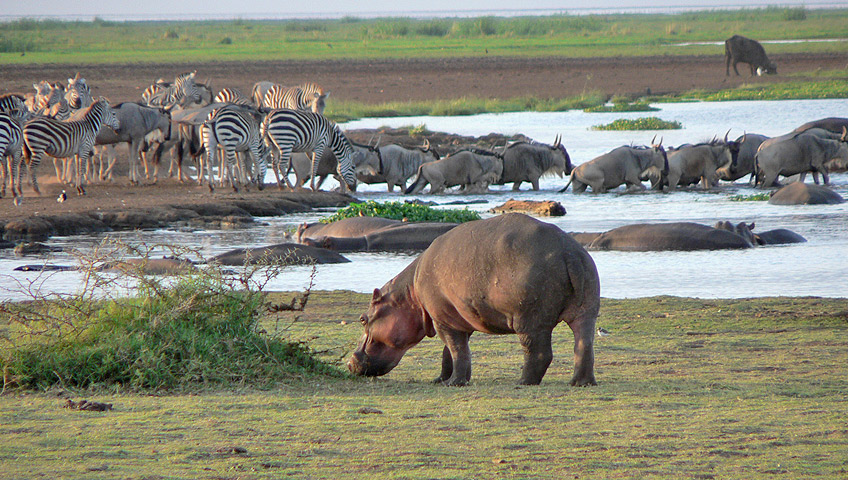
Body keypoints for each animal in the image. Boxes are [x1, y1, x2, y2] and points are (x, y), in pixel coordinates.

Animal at [348, 214, 600, 386]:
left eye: (362, 319)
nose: (349, 363)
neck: (409, 294)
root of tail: (568, 252)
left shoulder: (443, 320)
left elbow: (457, 351)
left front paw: (453, 383)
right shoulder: (452, 318)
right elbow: (449, 353)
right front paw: (441, 380)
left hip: (529, 319)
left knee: (539, 352)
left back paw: (522, 382)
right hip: (587, 309)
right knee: (583, 344)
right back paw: (581, 383)